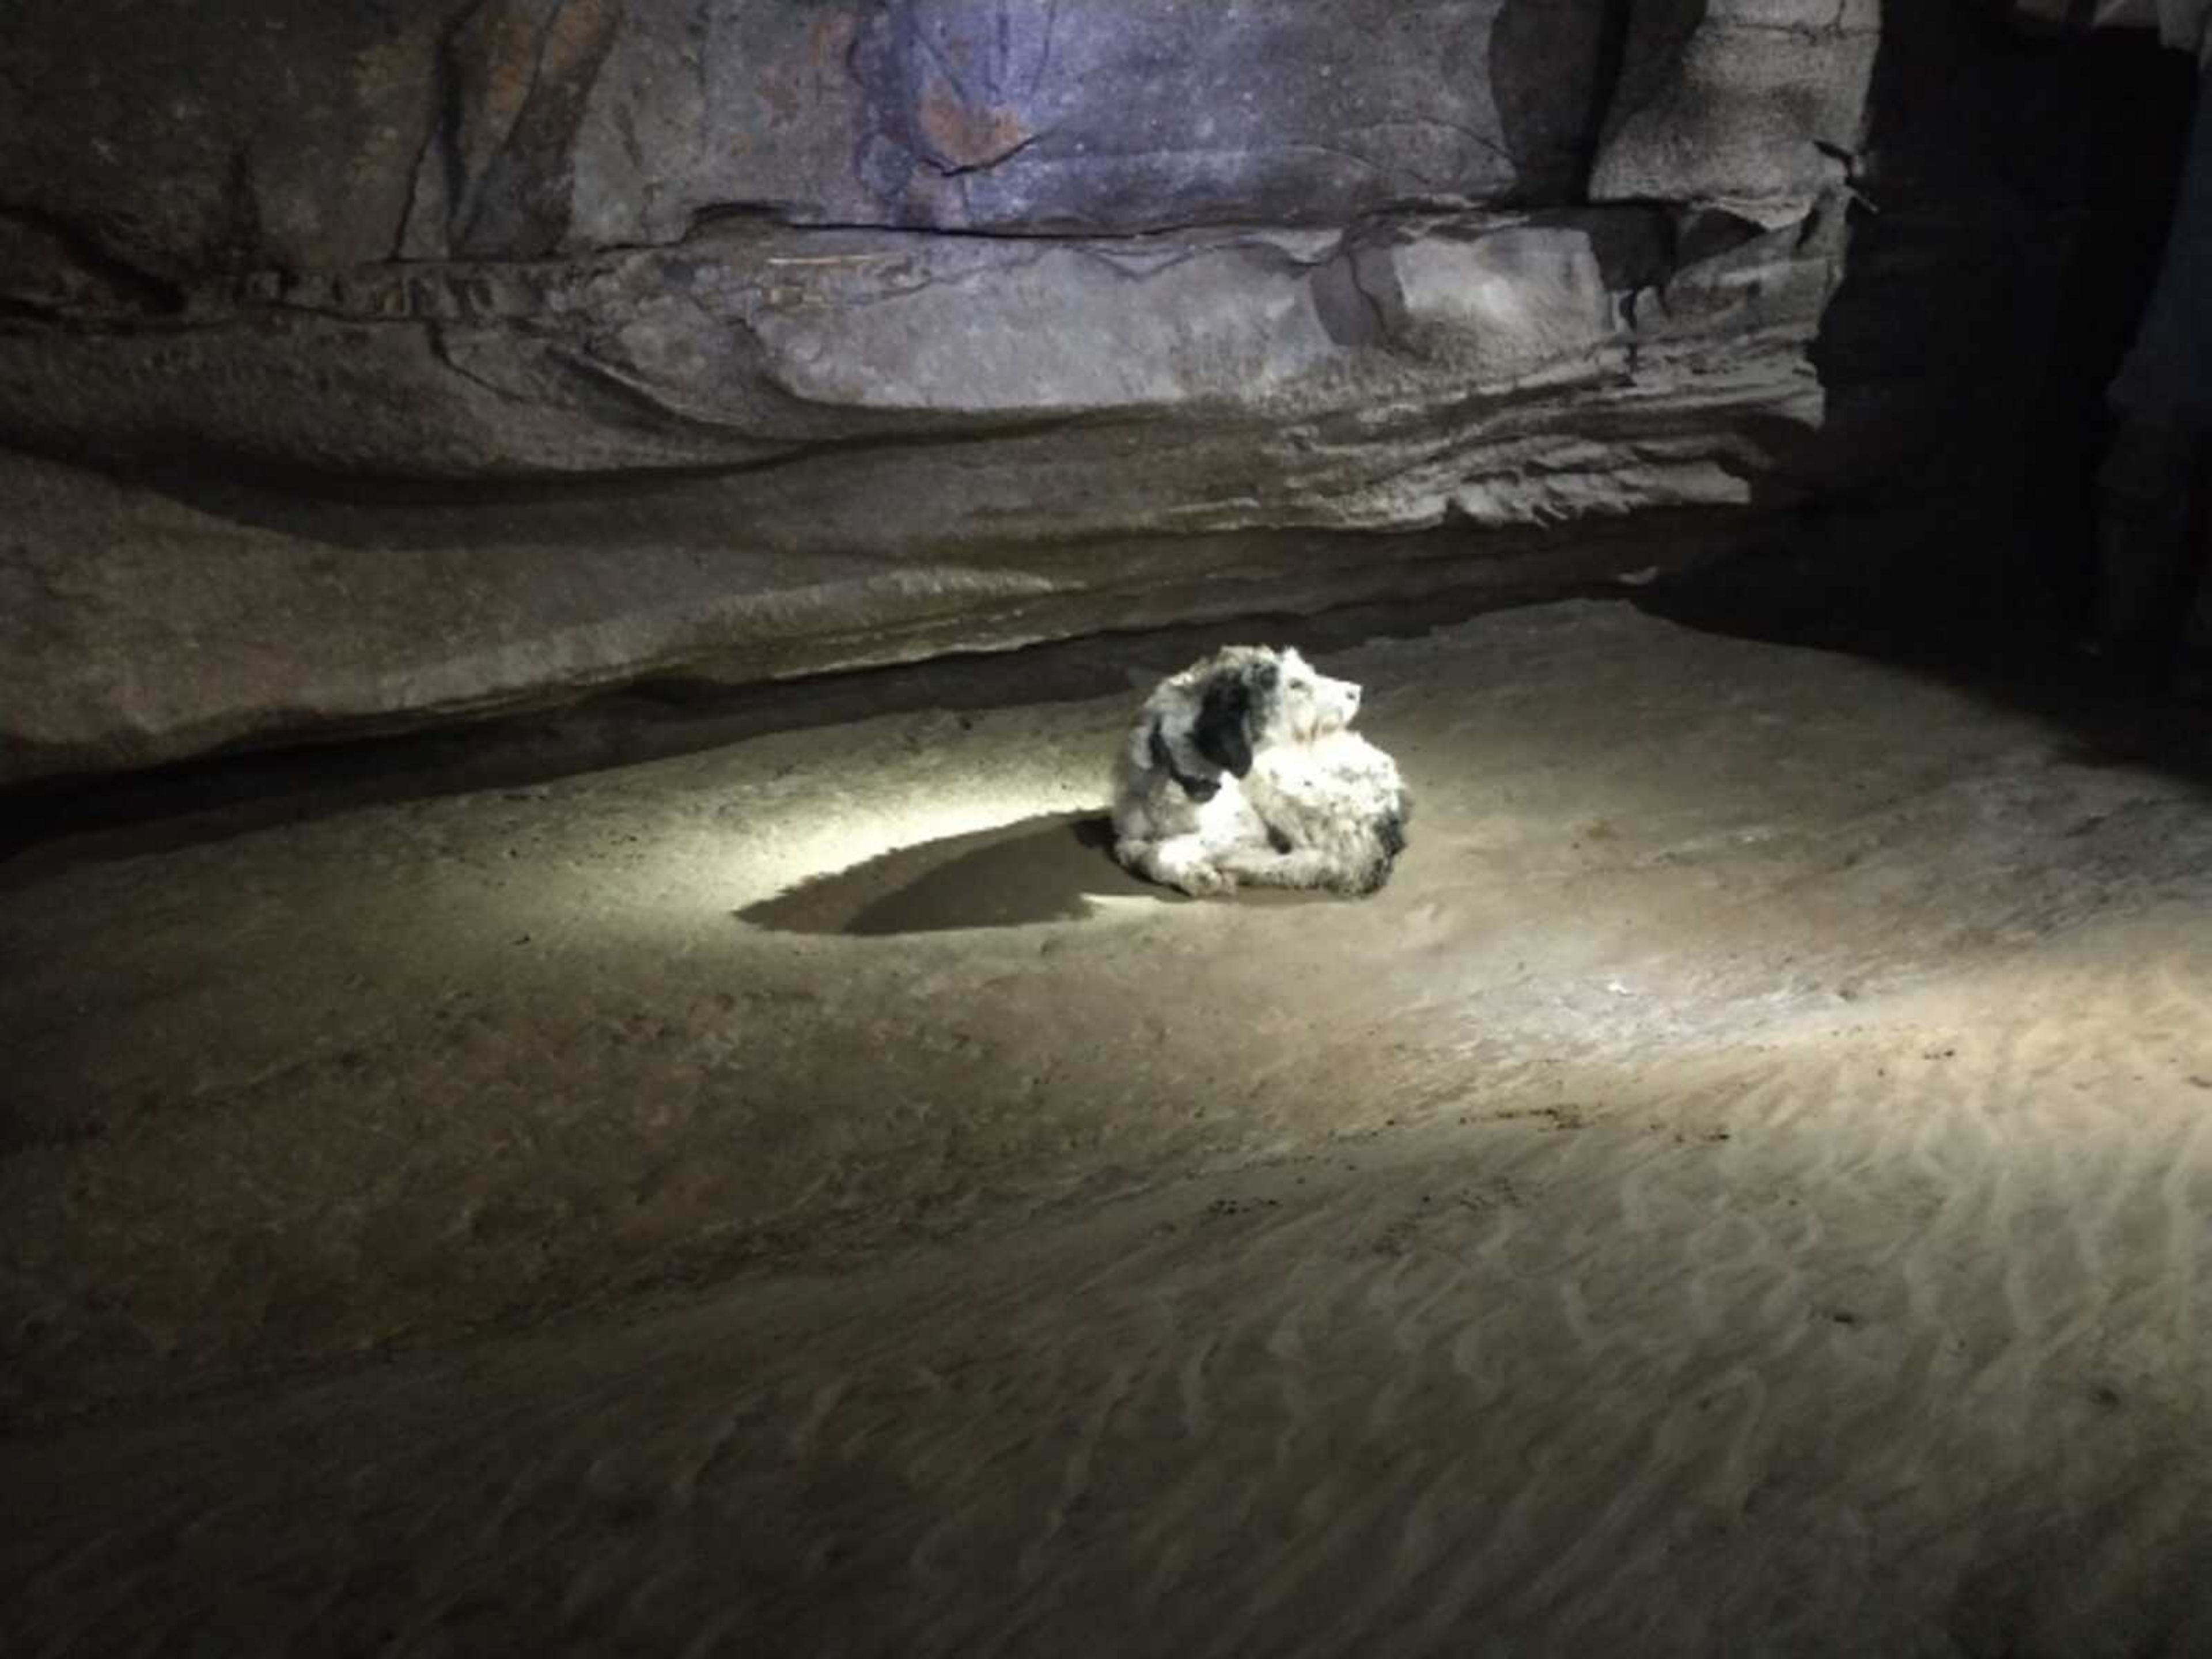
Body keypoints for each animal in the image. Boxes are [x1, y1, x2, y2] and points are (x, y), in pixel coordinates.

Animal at [1115, 646, 1407, 902]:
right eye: (1295, 685)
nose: (1357, 691)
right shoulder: (1128, 830)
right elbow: (1132, 850)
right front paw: (1194, 873)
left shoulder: (1245, 826)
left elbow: (1157, 851)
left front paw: (1200, 872)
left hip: (1273, 777)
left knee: (1329, 861)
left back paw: (1238, 863)